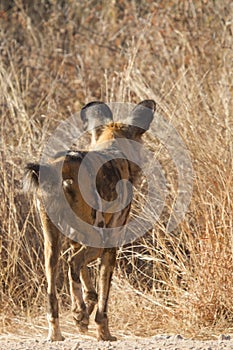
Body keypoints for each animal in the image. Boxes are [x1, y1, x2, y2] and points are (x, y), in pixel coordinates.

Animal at [23, 100, 156, 340]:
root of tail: (59, 166)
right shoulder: (110, 245)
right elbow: (103, 298)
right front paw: (104, 333)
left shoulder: (77, 239)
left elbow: (90, 287)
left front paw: (87, 309)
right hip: (98, 239)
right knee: (72, 263)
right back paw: (78, 313)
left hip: (51, 244)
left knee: (53, 287)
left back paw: (57, 333)